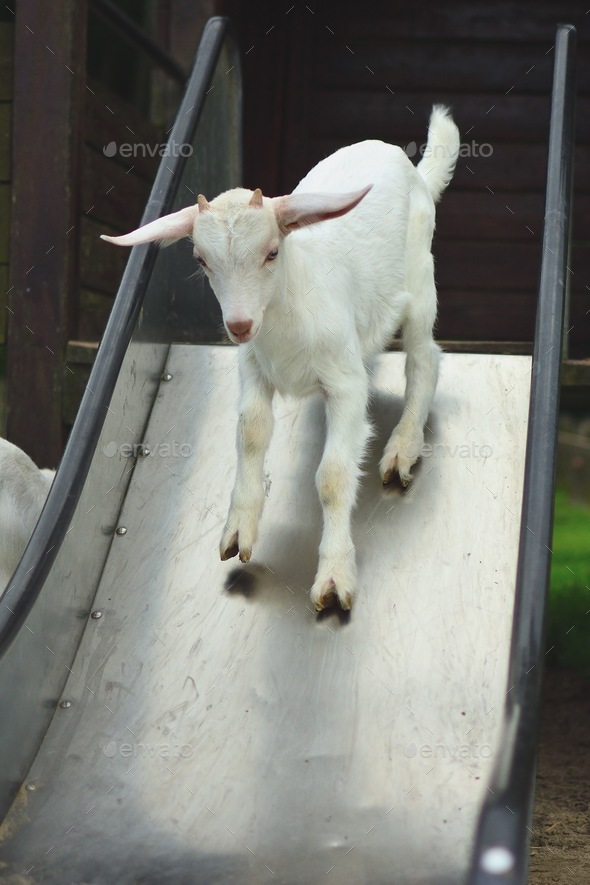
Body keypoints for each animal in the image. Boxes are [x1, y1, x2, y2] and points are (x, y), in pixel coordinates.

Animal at [102, 105, 460, 611]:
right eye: (201, 259)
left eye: (272, 252)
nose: (238, 325)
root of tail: (413, 170)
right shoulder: (253, 368)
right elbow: (250, 433)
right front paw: (238, 531)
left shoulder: (345, 384)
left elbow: (332, 476)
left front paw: (334, 577)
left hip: (419, 278)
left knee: (425, 358)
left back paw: (402, 447)